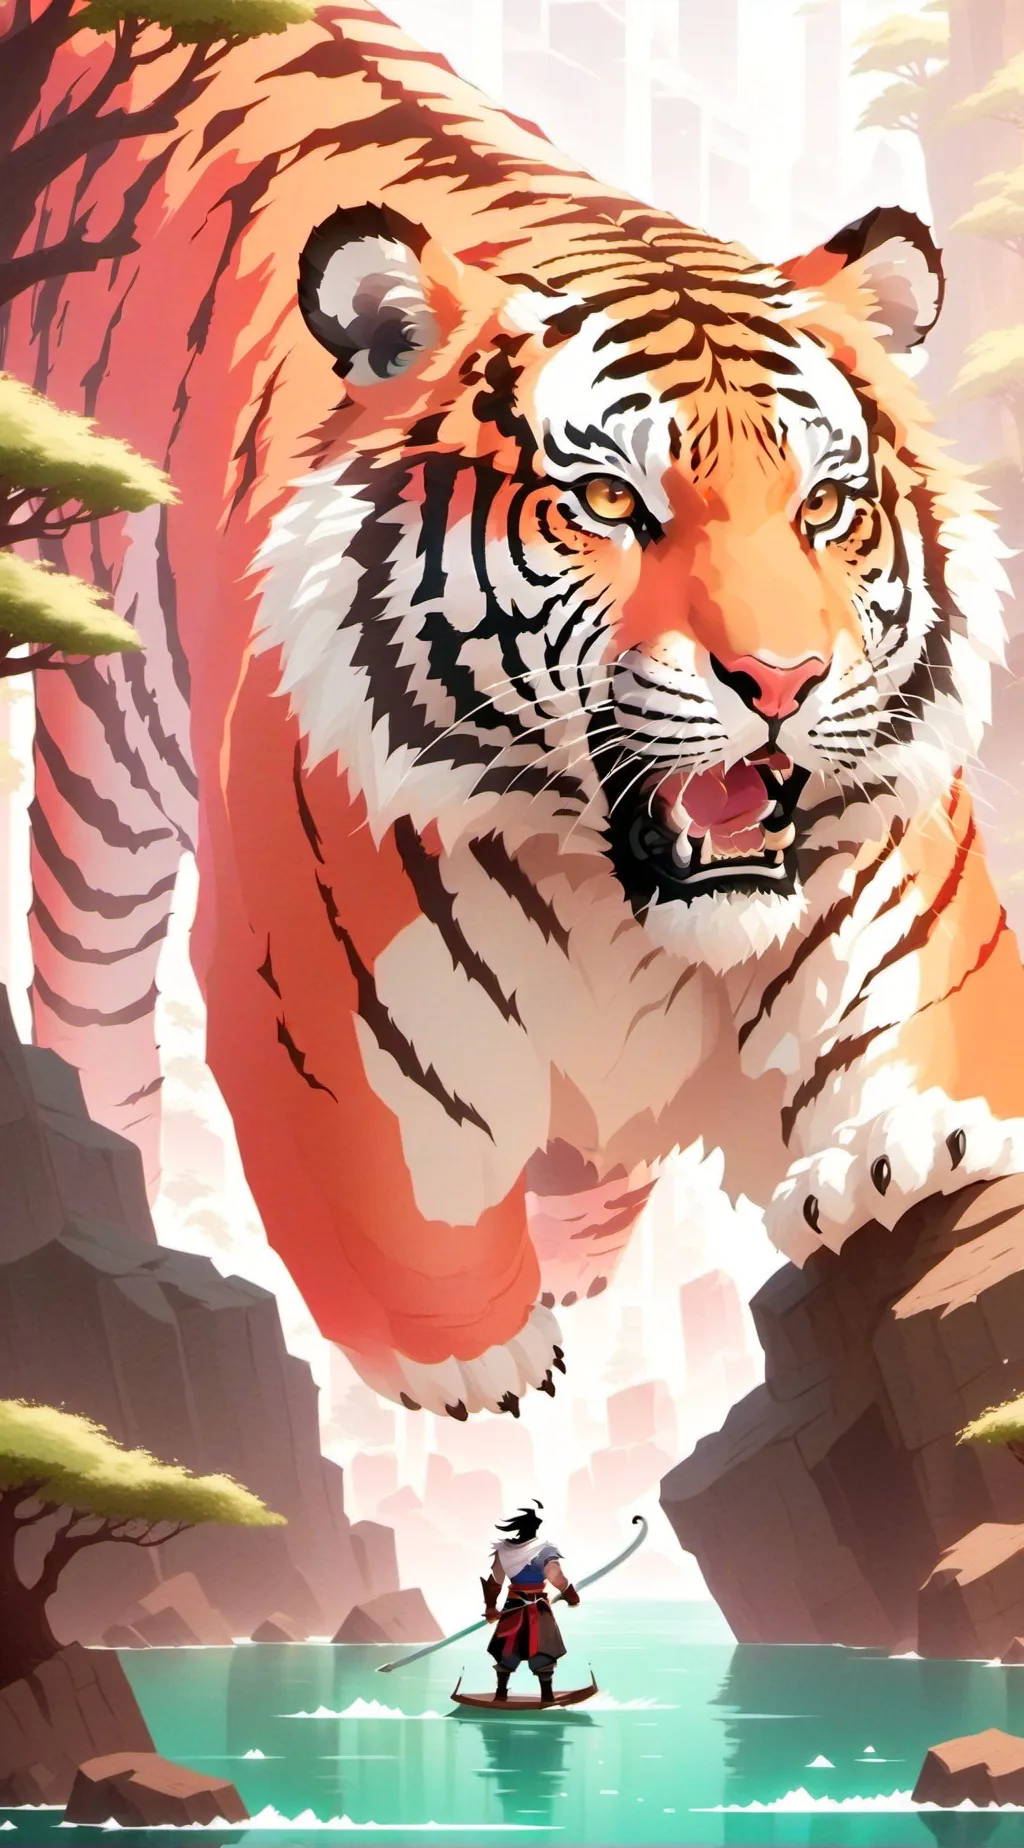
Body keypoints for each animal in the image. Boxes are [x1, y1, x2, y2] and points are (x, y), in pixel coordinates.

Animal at [10, 0, 1024, 1418]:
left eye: (825, 506)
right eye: (607, 503)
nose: (783, 680)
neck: (626, 911)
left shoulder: (902, 909)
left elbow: (927, 1072)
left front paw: (904, 1161)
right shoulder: (327, 1018)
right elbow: (409, 1225)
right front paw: (482, 1373)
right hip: (103, 765)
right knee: (87, 992)